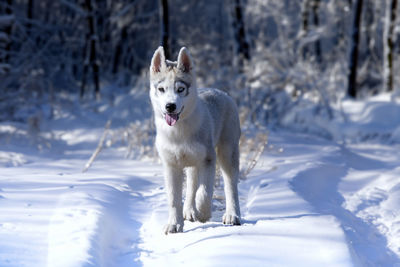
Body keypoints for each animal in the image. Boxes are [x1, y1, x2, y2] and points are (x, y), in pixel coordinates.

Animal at [148, 46, 239, 234]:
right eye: (161, 89)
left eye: (180, 89)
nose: (170, 106)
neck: (178, 133)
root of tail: (221, 92)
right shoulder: (170, 165)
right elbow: (174, 199)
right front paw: (174, 224)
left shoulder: (208, 160)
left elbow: (203, 193)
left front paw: (203, 215)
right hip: (192, 162)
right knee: (191, 185)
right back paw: (189, 211)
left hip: (227, 153)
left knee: (230, 185)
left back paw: (232, 215)